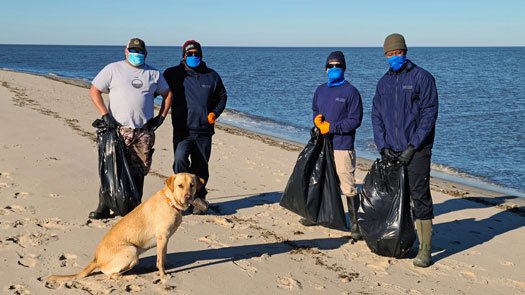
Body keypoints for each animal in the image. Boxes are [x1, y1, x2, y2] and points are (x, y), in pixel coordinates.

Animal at [48, 175, 205, 280]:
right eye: (180, 185)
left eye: (192, 185)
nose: (188, 197)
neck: (170, 201)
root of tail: (96, 259)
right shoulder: (162, 237)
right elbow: (160, 261)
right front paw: (162, 275)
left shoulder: (164, 239)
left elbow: (164, 256)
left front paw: (167, 268)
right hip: (132, 250)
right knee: (112, 276)